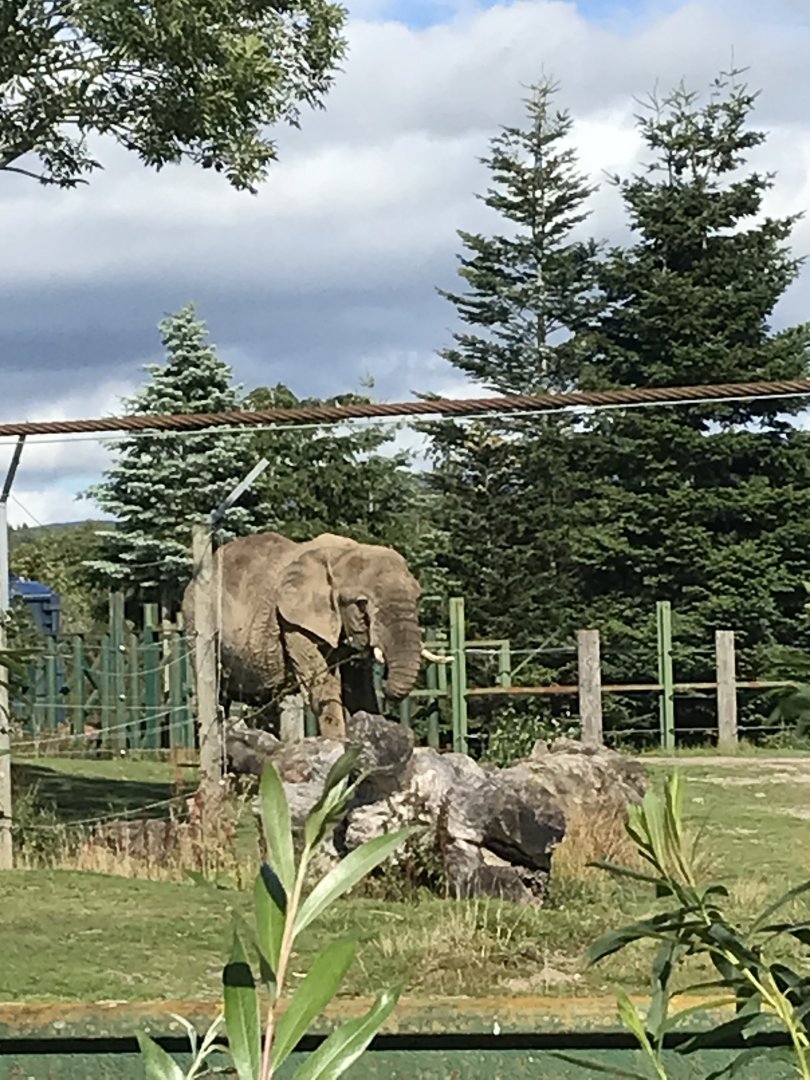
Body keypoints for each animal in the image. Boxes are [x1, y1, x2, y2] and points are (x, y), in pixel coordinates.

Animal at [181, 530, 434, 740]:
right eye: (362, 603)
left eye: (418, 597)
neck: (340, 554)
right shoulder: (292, 621)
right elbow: (323, 685)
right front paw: (338, 746)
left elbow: (359, 689)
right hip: (197, 623)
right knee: (215, 694)